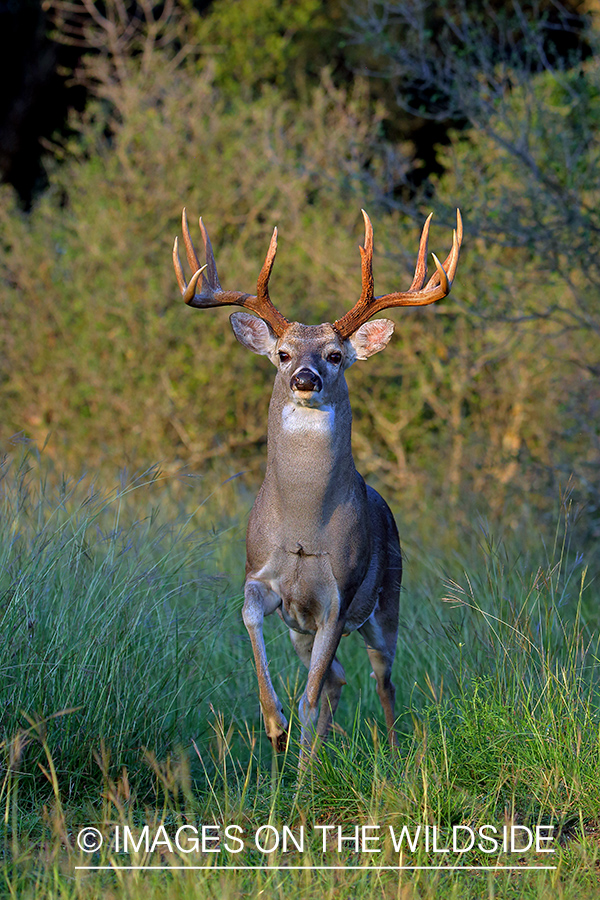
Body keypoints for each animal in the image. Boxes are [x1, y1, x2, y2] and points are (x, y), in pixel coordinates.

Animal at [171, 209, 462, 760]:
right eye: (283, 354)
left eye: (334, 354)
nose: (305, 380)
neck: (305, 527)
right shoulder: (264, 580)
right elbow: (253, 629)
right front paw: (276, 728)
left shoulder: (338, 598)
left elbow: (309, 698)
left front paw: (298, 750)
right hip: (302, 629)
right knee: (337, 679)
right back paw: (317, 750)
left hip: (386, 602)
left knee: (381, 678)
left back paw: (390, 752)